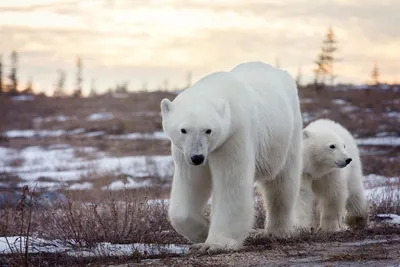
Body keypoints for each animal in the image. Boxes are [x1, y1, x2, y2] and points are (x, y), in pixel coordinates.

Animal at [161, 61, 302, 255]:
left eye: (208, 130)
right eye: (183, 130)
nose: (197, 157)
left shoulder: (233, 136)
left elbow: (231, 183)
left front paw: (214, 244)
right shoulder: (184, 153)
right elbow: (191, 183)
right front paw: (203, 232)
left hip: (286, 137)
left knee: (282, 183)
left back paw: (276, 231)